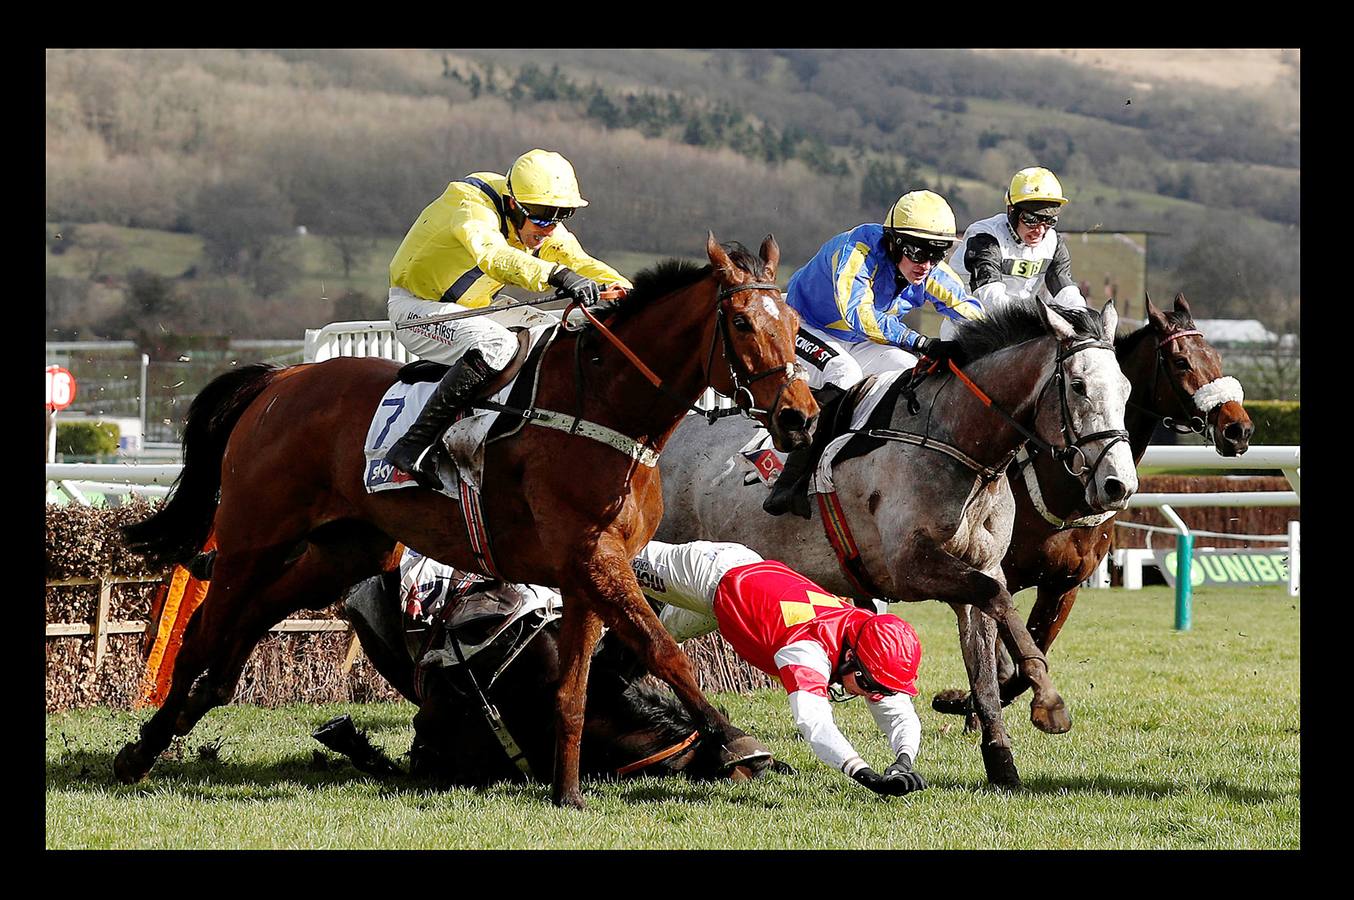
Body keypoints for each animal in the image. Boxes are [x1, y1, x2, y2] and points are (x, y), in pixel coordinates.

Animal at [652, 297, 1131, 784]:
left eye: (1126, 389)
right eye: (1078, 386)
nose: (1118, 485)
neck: (956, 442)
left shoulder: (982, 569)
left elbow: (986, 655)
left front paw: (1001, 760)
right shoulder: (910, 568)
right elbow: (999, 604)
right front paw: (1048, 702)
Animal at [931, 293, 1256, 714]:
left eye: (1216, 355)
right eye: (1181, 361)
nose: (1238, 429)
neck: (1066, 492)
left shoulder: (1063, 586)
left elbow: (1026, 662)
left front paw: (972, 701)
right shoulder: (998, 577)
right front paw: (962, 701)